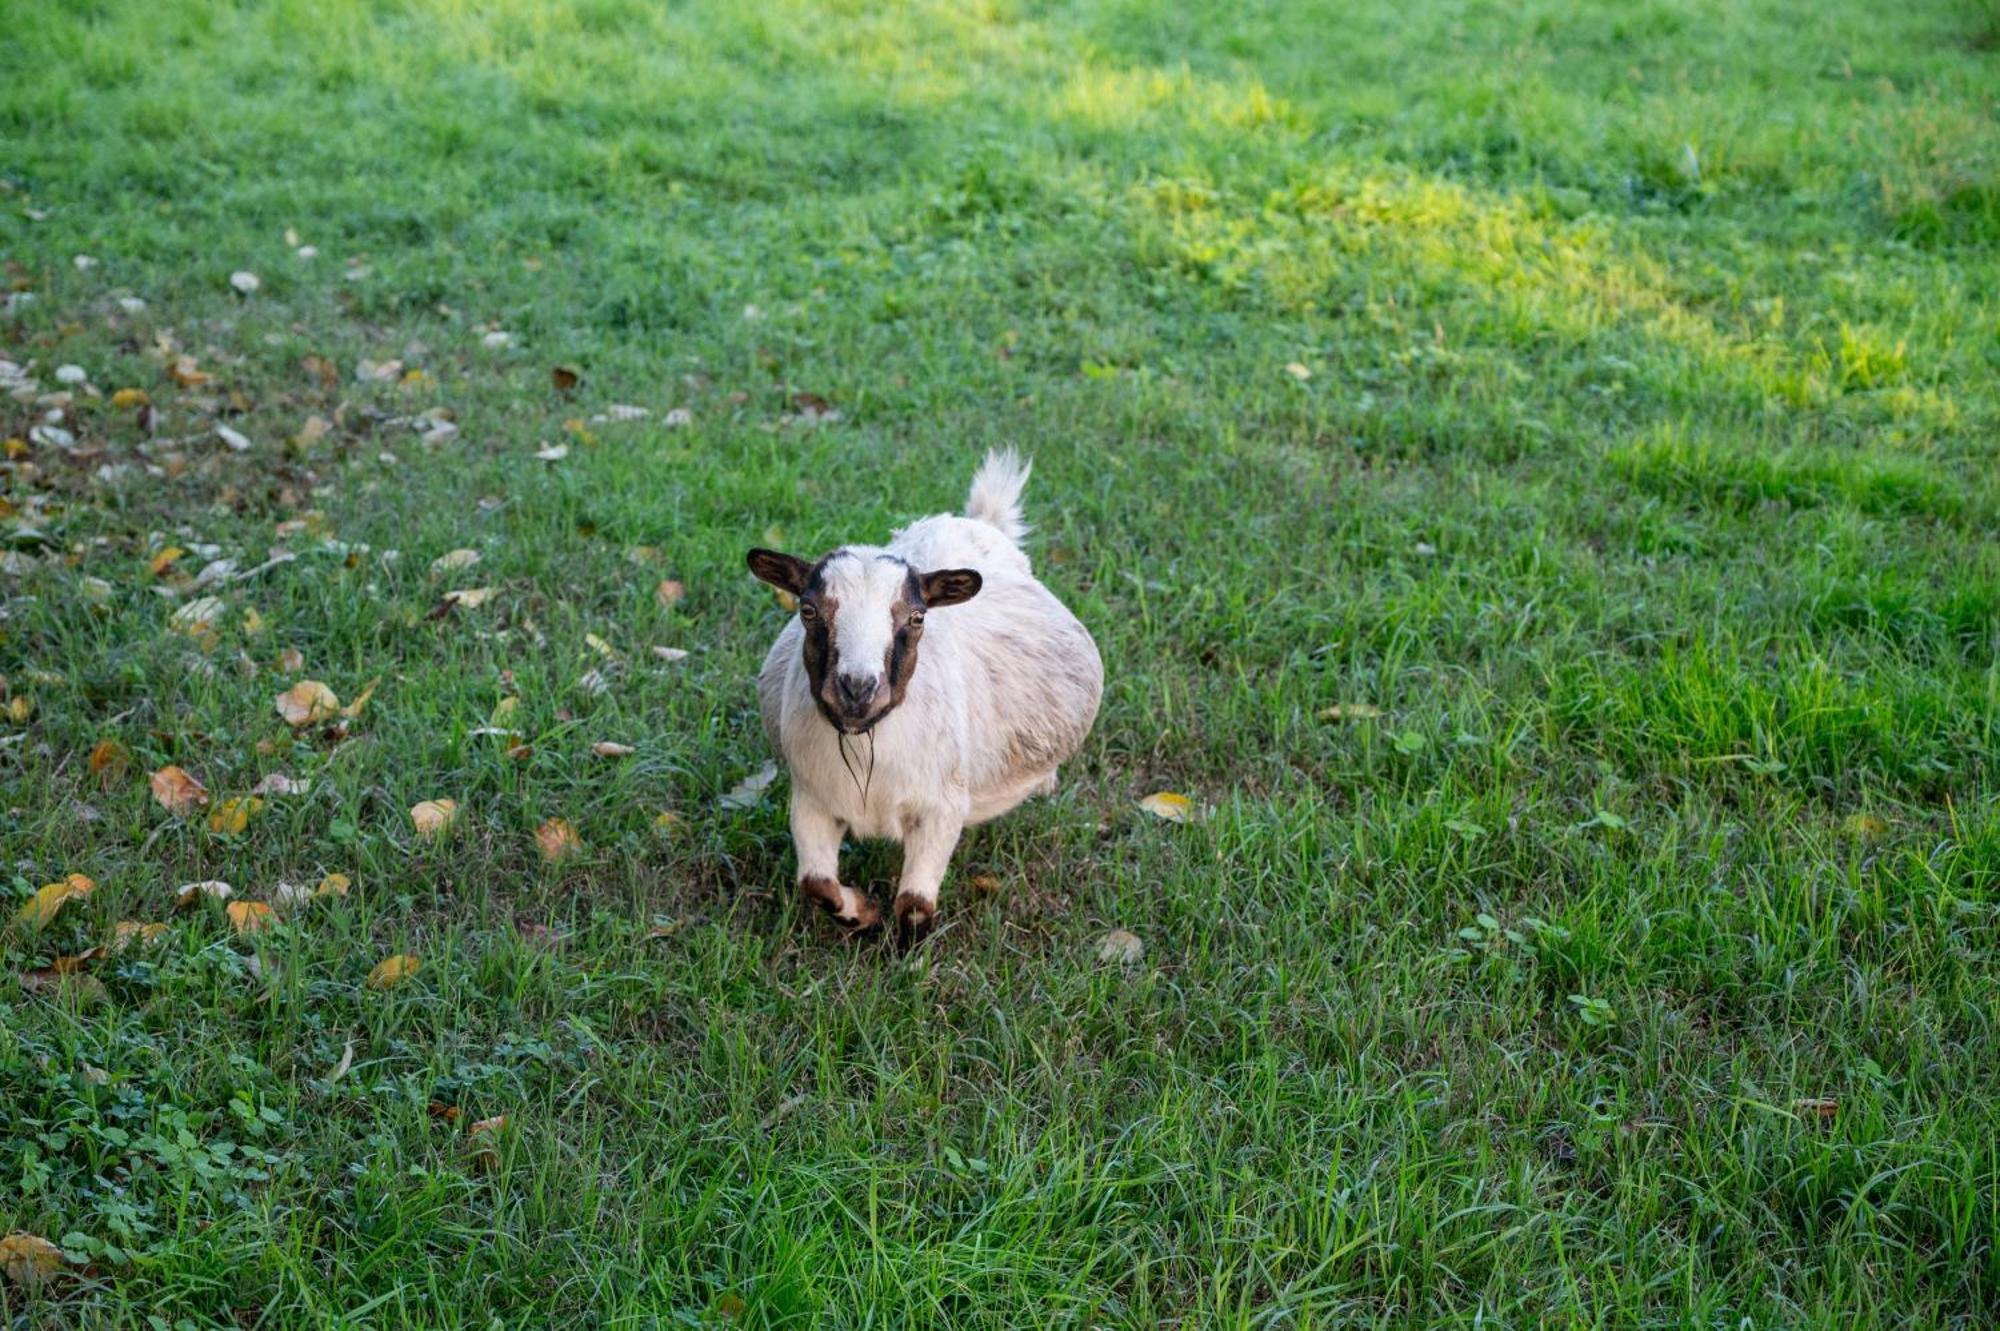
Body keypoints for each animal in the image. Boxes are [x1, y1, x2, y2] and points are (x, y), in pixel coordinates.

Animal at [752, 451, 1104, 939]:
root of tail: (977, 521)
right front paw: (863, 912)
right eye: (808, 609)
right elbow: (817, 886)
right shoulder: (812, 799)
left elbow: (914, 907)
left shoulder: (943, 809)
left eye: (917, 617)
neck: (866, 751)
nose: (857, 688)